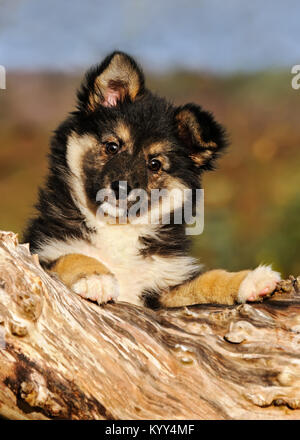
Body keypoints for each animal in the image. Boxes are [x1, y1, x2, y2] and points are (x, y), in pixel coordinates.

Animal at [23, 51, 282, 308]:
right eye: (112, 147)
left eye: (155, 164)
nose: (121, 189)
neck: (118, 228)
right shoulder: (42, 252)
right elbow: (72, 256)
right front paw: (96, 277)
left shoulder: (163, 289)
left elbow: (205, 280)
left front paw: (250, 279)